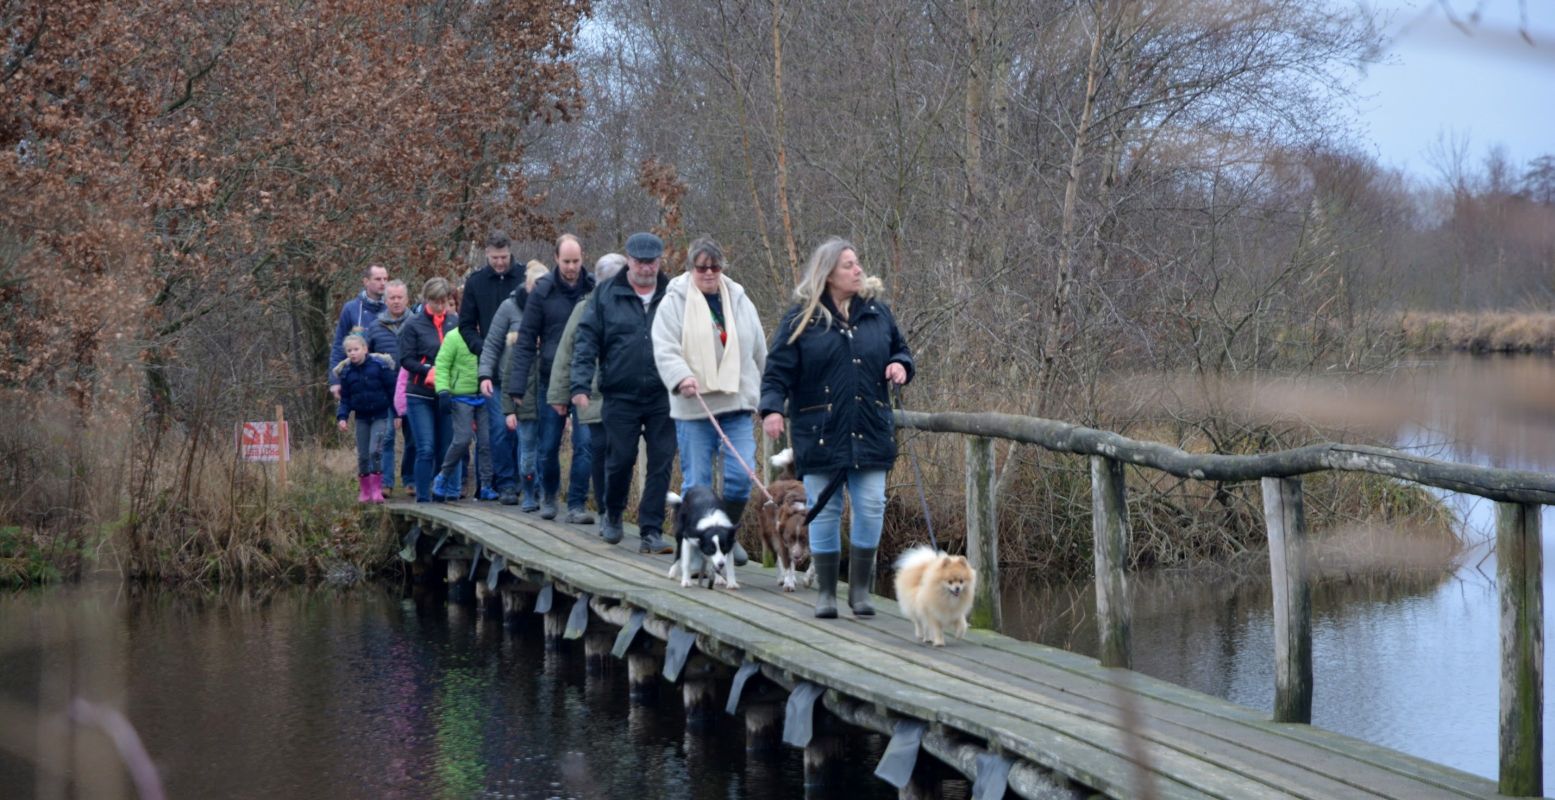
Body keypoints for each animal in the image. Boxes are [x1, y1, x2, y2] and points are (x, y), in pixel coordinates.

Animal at [755, 448, 814, 591]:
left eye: (804, 539)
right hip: (768, 535)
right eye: (790, 538)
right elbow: (786, 562)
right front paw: (788, 583)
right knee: (779, 558)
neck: (799, 508)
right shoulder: (783, 539)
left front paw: (808, 579)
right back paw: (783, 578)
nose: (797, 555)